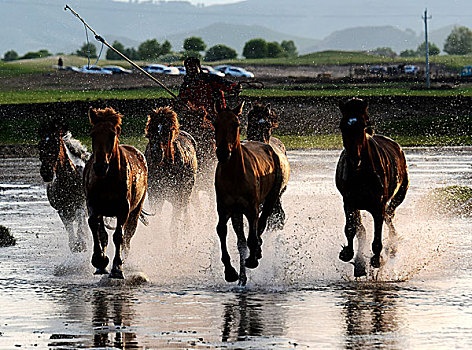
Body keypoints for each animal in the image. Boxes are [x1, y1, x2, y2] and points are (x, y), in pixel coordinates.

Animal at [38, 117, 91, 252]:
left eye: (56, 145)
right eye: (39, 146)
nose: (46, 172)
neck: (68, 181)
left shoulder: (81, 203)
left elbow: (80, 217)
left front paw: (82, 242)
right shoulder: (62, 209)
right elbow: (69, 228)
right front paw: (76, 244)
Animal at [84, 106, 148, 278]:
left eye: (112, 134)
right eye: (93, 134)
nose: (100, 167)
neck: (107, 179)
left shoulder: (123, 209)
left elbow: (119, 236)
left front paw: (117, 267)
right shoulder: (93, 204)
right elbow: (95, 227)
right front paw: (99, 260)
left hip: (136, 210)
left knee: (128, 236)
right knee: (103, 234)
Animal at [336, 98, 410, 276]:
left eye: (363, 125)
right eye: (342, 126)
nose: (354, 159)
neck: (361, 172)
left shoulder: (378, 205)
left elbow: (377, 235)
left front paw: (377, 259)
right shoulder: (349, 202)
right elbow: (352, 229)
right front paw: (349, 254)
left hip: (400, 194)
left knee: (389, 216)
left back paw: (392, 246)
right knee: (362, 229)